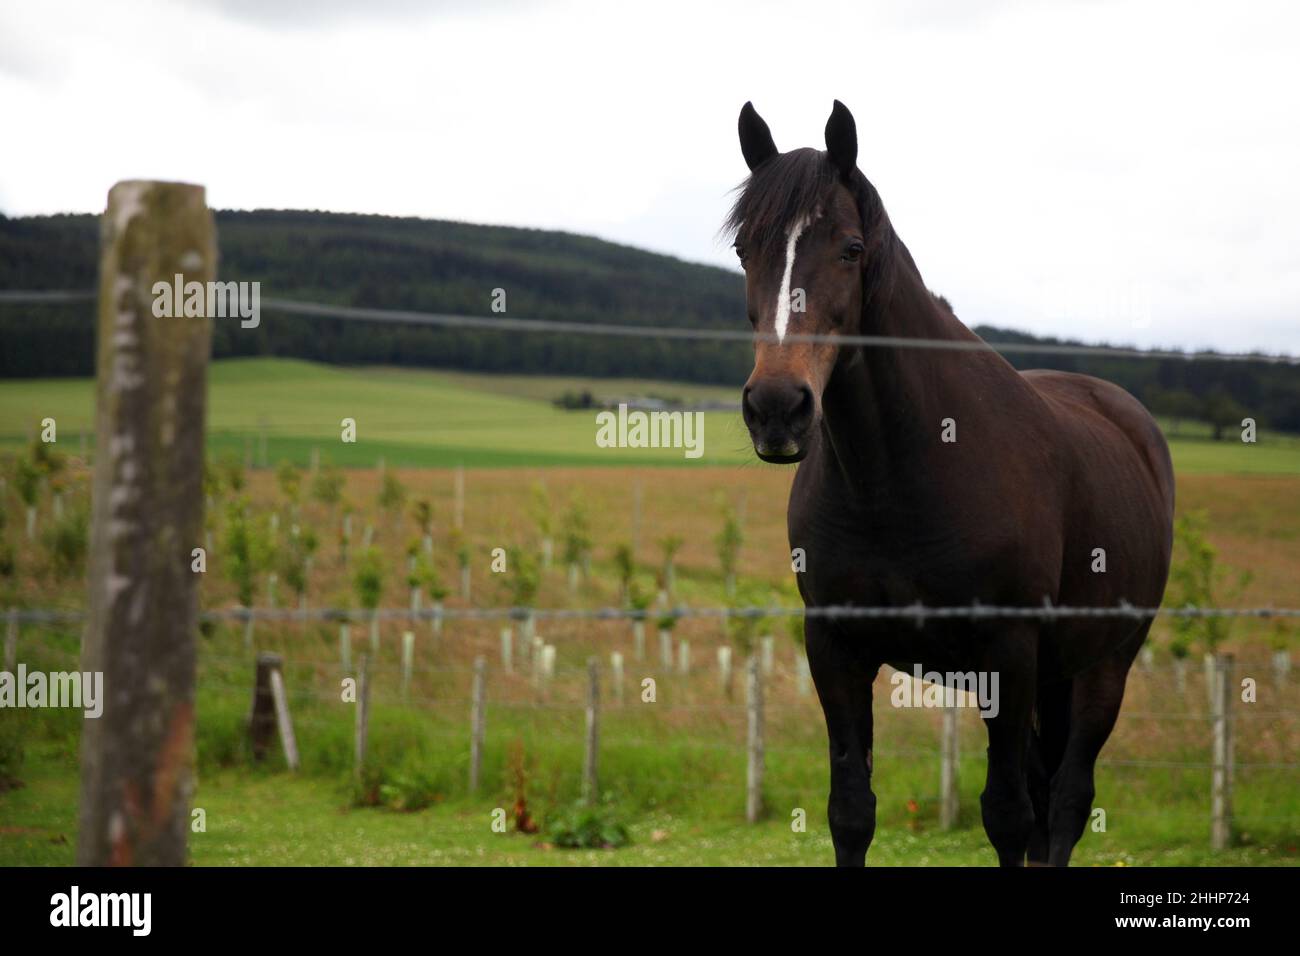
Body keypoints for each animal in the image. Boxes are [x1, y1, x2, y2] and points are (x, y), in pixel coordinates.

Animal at [733, 100, 1180, 863]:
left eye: (851, 249)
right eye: (744, 251)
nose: (777, 408)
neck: (899, 476)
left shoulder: (1008, 655)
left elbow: (1006, 815)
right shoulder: (835, 650)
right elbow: (851, 811)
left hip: (1104, 667)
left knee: (1065, 802)